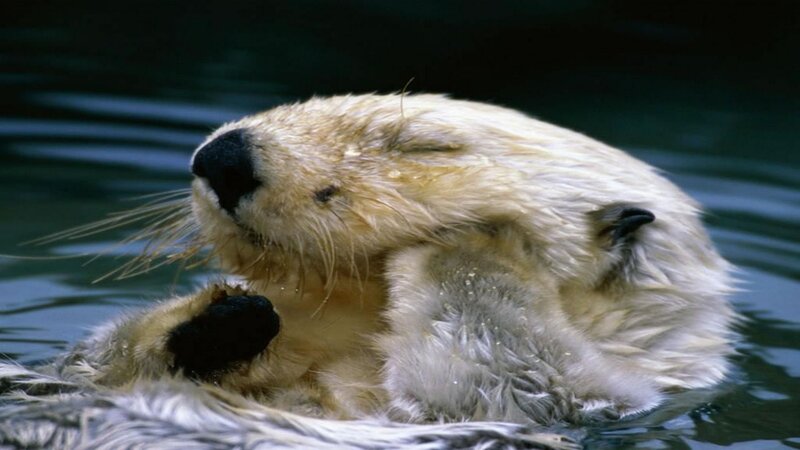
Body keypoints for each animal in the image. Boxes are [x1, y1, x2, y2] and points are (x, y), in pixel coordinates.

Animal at [0, 94, 737, 448]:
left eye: (424, 146)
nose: (222, 156)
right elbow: (100, 357)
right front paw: (228, 316)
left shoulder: (551, 397)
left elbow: (492, 348)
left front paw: (483, 241)